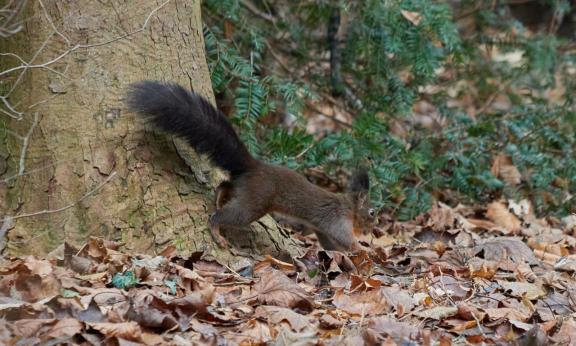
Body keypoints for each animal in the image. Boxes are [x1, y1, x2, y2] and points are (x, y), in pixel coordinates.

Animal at [127, 81, 378, 250]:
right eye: (373, 211)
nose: (375, 227)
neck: (349, 206)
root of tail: (254, 166)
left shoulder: (320, 228)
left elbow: (330, 245)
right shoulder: (336, 220)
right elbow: (344, 238)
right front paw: (363, 250)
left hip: (247, 190)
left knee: (226, 184)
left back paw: (219, 197)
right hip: (255, 202)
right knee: (223, 215)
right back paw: (217, 232)